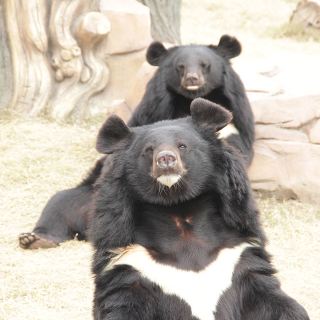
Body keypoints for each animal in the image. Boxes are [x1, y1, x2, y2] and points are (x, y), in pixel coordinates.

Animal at [19, 35, 255, 250]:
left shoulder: (233, 118)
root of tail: (88, 229)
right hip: (83, 198)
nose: (192, 79)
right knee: (57, 204)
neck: (187, 99)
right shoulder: (151, 111)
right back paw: (35, 239)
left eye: (205, 65)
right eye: (180, 66)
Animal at [90, 99, 310, 320]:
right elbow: (122, 303)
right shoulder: (130, 262)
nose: (166, 159)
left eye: (182, 146)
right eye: (148, 150)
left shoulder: (239, 256)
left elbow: (272, 299)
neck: (179, 210)